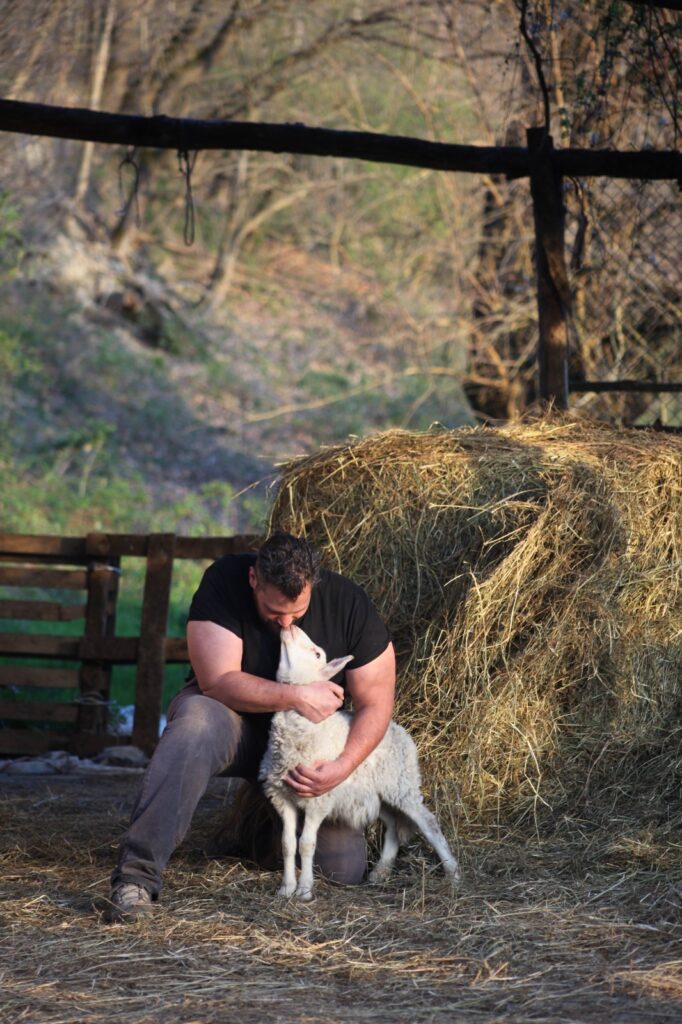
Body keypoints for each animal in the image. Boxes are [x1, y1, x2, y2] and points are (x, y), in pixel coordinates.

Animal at [258, 626, 458, 901]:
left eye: (317, 653)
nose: (290, 627)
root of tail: (399, 731)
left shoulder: (318, 798)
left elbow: (306, 844)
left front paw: (305, 890)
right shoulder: (281, 795)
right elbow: (288, 844)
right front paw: (286, 888)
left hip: (401, 784)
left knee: (428, 822)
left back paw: (453, 873)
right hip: (376, 794)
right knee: (393, 826)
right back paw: (380, 872)